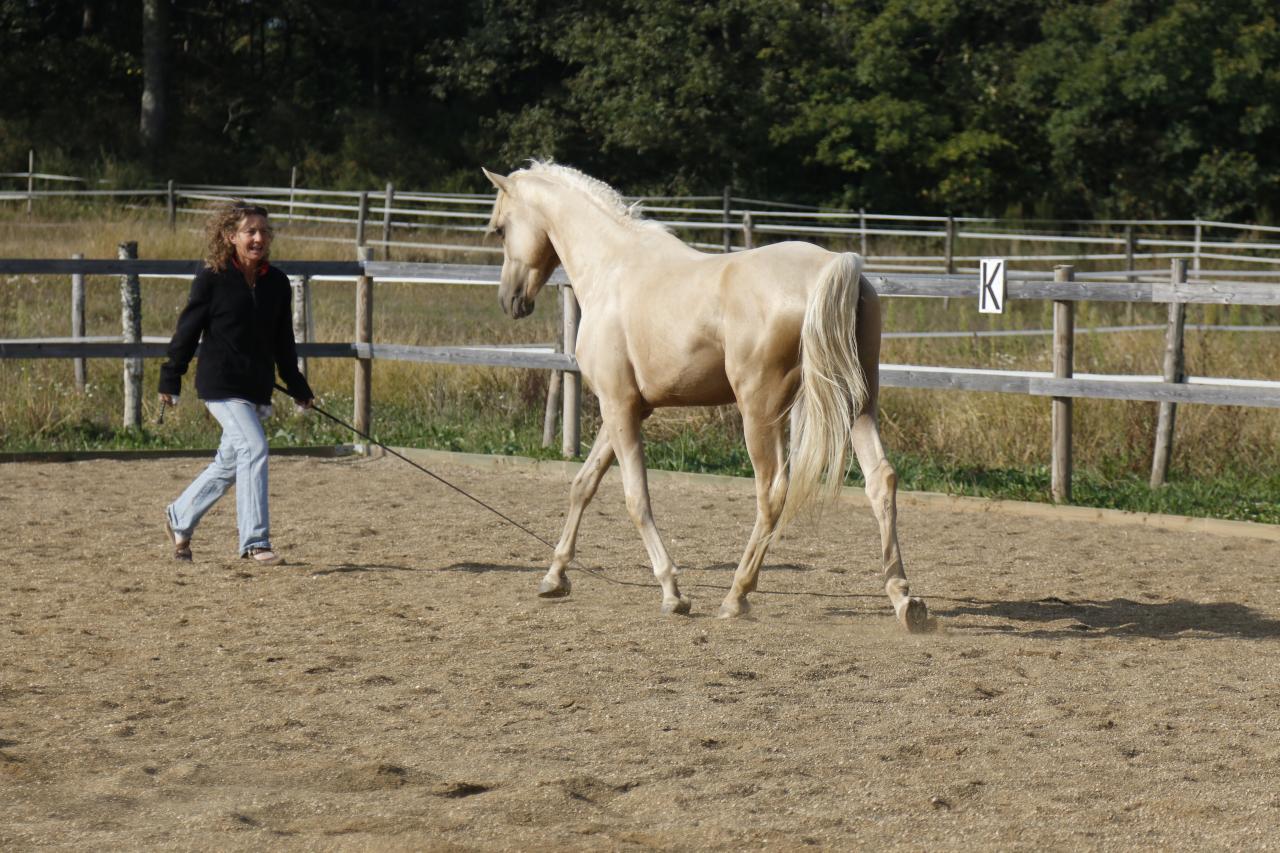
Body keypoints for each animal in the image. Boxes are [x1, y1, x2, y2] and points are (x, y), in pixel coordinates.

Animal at [481, 162, 931, 627]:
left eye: (500, 229)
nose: (510, 300)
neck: (613, 268)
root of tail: (832, 266)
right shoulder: (627, 408)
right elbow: (583, 484)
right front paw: (554, 576)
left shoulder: (618, 406)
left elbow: (635, 498)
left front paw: (672, 592)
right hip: (858, 404)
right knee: (881, 480)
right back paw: (904, 600)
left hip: (761, 410)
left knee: (772, 490)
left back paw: (736, 596)